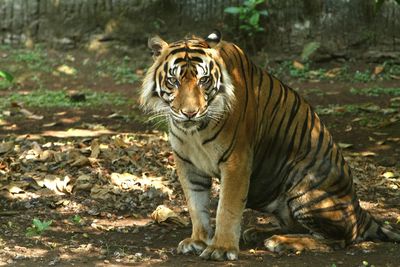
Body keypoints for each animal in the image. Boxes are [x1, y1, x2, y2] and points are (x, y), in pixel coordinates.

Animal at [139, 29, 398, 262]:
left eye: (203, 80)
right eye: (173, 80)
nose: (190, 113)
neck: (194, 132)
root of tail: (359, 210)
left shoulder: (237, 160)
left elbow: (227, 208)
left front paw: (220, 249)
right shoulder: (186, 162)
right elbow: (196, 205)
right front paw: (198, 241)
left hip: (305, 185)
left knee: (339, 239)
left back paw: (280, 242)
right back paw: (257, 232)